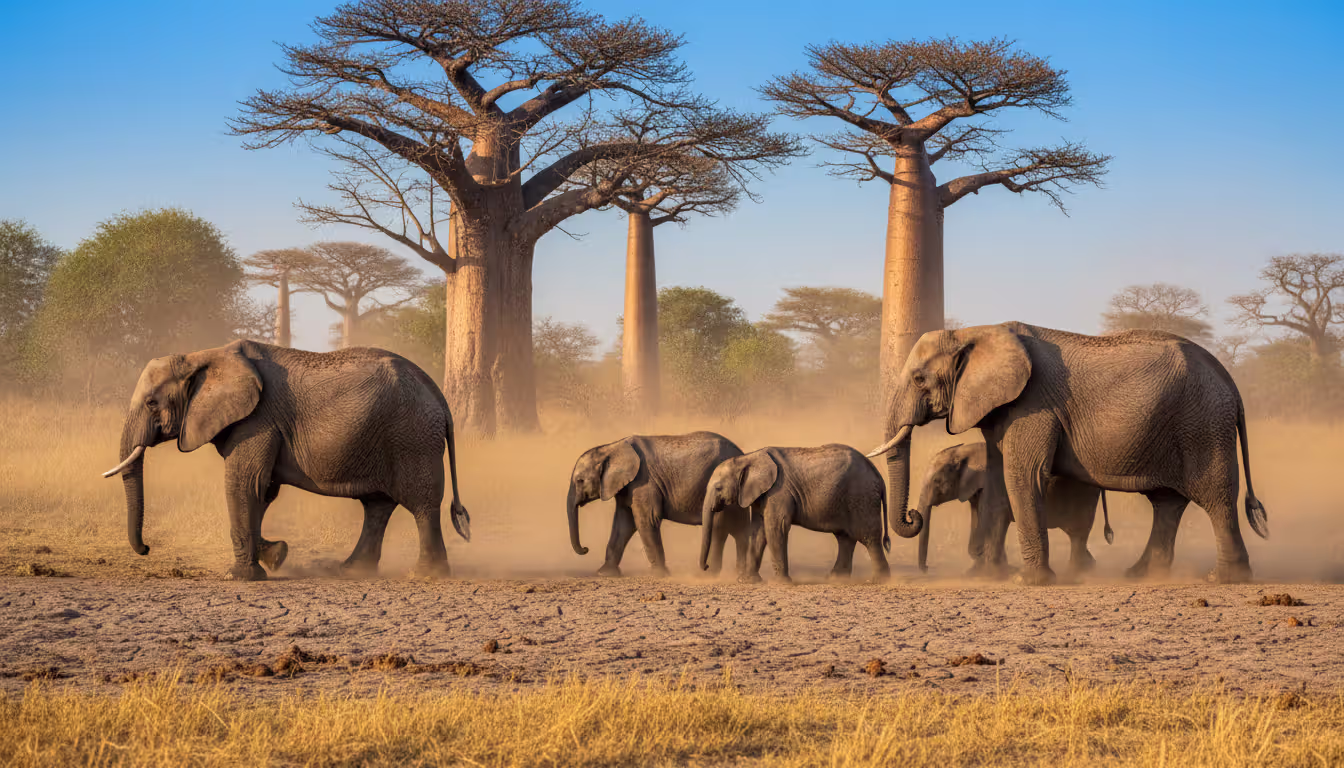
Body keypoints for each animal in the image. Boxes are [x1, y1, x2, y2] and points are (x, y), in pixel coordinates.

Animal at [101, 340, 469, 581]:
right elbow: (263, 491)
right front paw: (275, 555)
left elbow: (245, 484)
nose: (146, 548)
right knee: (377, 506)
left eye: (151, 403)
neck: (201, 356)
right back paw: (352, 571)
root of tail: (438, 394)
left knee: (421, 503)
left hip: (413, 437)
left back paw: (425, 576)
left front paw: (240, 576)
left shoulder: (256, 420)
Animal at [566, 432, 751, 578]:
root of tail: (741, 452)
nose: (586, 549)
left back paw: (708, 575)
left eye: (580, 480)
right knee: (739, 531)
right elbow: (623, 524)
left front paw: (661, 575)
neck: (612, 447)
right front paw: (604, 574)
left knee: (719, 528)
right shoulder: (628, 487)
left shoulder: (644, 481)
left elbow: (646, 520)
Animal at [700, 444, 922, 584]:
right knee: (845, 537)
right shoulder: (760, 495)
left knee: (868, 537)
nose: (706, 567)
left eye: (718, 488)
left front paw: (782, 583)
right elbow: (759, 532)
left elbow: (776, 528)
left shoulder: (778, 491)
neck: (749, 458)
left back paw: (878, 580)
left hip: (862, 497)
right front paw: (747, 581)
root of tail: (878, 475)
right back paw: (836, 579)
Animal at [915, 442, 1113, 575]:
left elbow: (995, 521)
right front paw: (978, 572)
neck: (965, 452)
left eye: (936, 481)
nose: (926, 568)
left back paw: (1078, 573)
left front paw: (995, 573)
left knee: (1077, 533)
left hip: (1083, 493)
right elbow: (978, 519)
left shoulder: (994, 485)